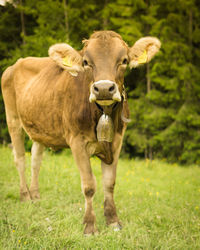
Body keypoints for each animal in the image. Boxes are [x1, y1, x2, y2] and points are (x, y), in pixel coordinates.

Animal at [1, 30, 161, 234]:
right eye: (86, 62)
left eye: (124, 60)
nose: (103, 89)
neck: (102, 112)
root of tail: (17, 63)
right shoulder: (76, 141)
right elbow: (89, 185)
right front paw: (90, 226)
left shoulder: (117, 141)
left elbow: (109, 183)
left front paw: (113, 221)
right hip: (12, 119)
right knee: (20, 159)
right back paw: (25, 196)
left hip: (39, 126)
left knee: (36, 160)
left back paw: (36, 196)